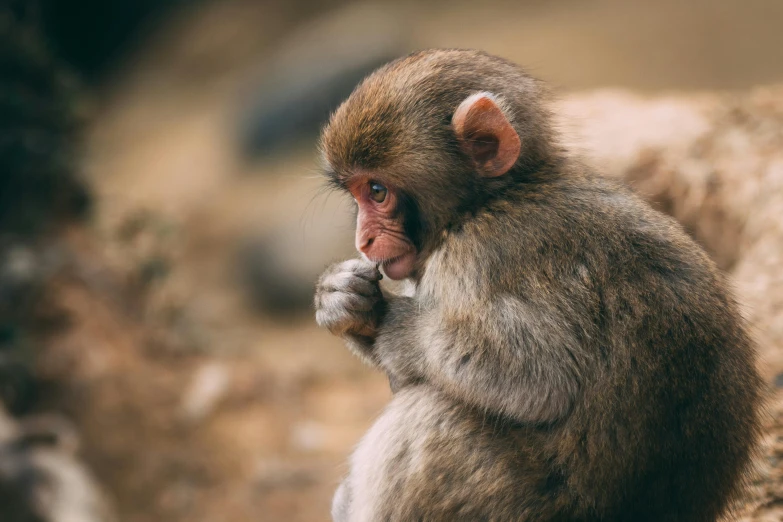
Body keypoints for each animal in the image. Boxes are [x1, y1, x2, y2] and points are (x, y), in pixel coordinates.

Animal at [314, 49, 764, 520]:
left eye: (377, 191)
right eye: (357, 195)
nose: (363, 240)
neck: (489, 201)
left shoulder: (482, 254)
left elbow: (540, 376)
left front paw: (393, 324)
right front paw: (342, 300)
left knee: (428, 416)